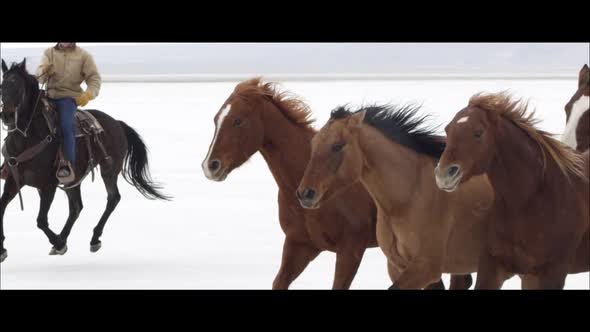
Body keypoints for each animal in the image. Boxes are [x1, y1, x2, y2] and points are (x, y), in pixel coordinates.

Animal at [204, 79, 472, 290]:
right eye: (216, 118)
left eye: (238, 121)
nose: (210, 166)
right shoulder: (299, 246)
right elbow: (279, 282)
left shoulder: (350, 250)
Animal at [296, 104, 494, 288]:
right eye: (313, 144)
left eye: (337, 146)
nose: (305, 193)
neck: (407, 199)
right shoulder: (397, 266)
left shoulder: (425, 268)